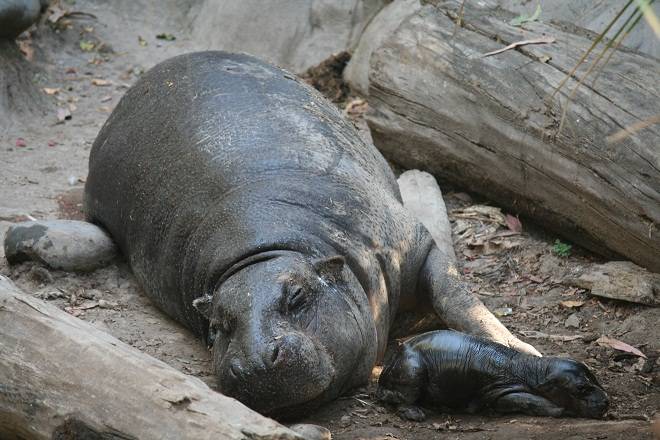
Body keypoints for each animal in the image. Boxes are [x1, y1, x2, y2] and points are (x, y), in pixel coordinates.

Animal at [6, 49, 540, 418]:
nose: (258, 363)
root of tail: (142, 81)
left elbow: (460, 301)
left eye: (298, 296)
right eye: (217, 326)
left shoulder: (414, 245)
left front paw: (524, 352)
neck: (270, 251)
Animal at [376, 330, 608, 420]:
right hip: (413, 369)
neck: (534, 371)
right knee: (400, 397)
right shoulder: (499, 391)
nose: (606, 401)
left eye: (596, 379)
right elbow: (526, 399)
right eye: (581, 388)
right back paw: (417, 413)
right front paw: (561, 410)